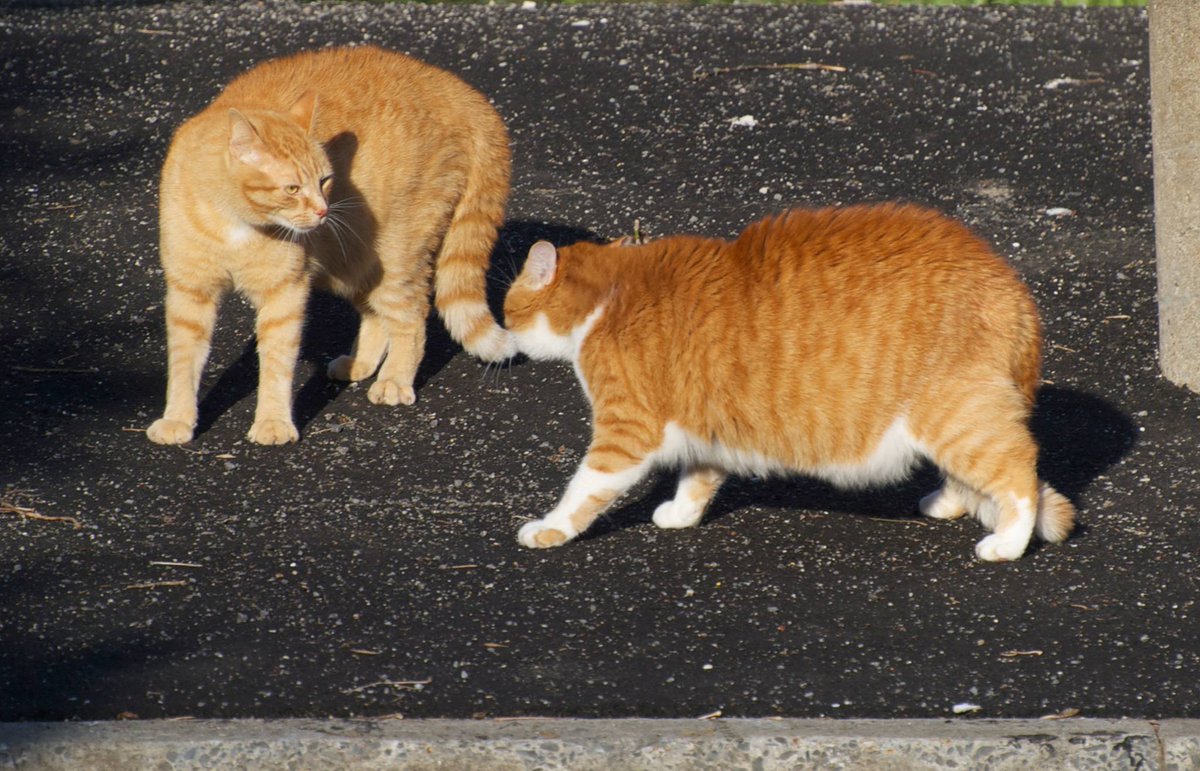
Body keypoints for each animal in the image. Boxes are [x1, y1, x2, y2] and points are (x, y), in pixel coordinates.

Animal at [145, 46, 511, 444]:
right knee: (376, 314)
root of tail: (461, 92)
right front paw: (178, 418)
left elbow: (276, 364)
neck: (232, 222)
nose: (323, 211)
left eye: (324, 180)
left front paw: (273, 421)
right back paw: (361, 362)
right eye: (292, 189)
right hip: (356, 263)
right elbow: (183, 362)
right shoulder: (189, 292)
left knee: (411, 318)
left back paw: (395, 378)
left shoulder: (284, 293)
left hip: (395, 258)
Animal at [506, 202, 1080, 557]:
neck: (613, 293)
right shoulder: (708, 424)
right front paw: (681, 514)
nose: (506, 331)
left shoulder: (626, 432)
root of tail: (1015, 291)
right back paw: (950, 502)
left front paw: (550, 528)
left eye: (509, 303)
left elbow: (584, 489)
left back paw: (1007, 543)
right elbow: (698, 475)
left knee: (1019, 473)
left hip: (956, 417)